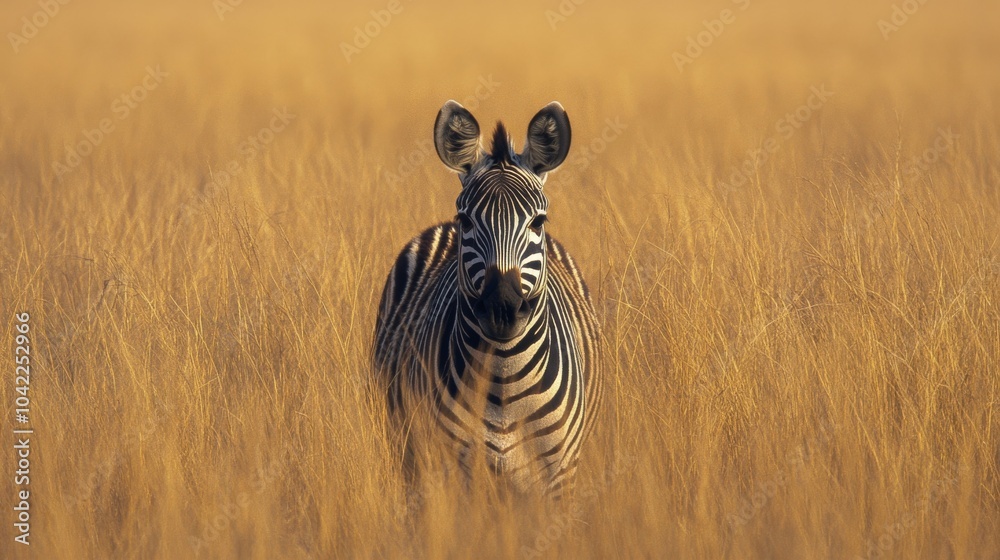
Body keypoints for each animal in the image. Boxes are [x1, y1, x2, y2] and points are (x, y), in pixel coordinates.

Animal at [372, 100, 602, 496]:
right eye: (466, 221)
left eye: (538, 222)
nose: (502, 310)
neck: (504, 379)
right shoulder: (455, 470)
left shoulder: (559, 474)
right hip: (409, 449)